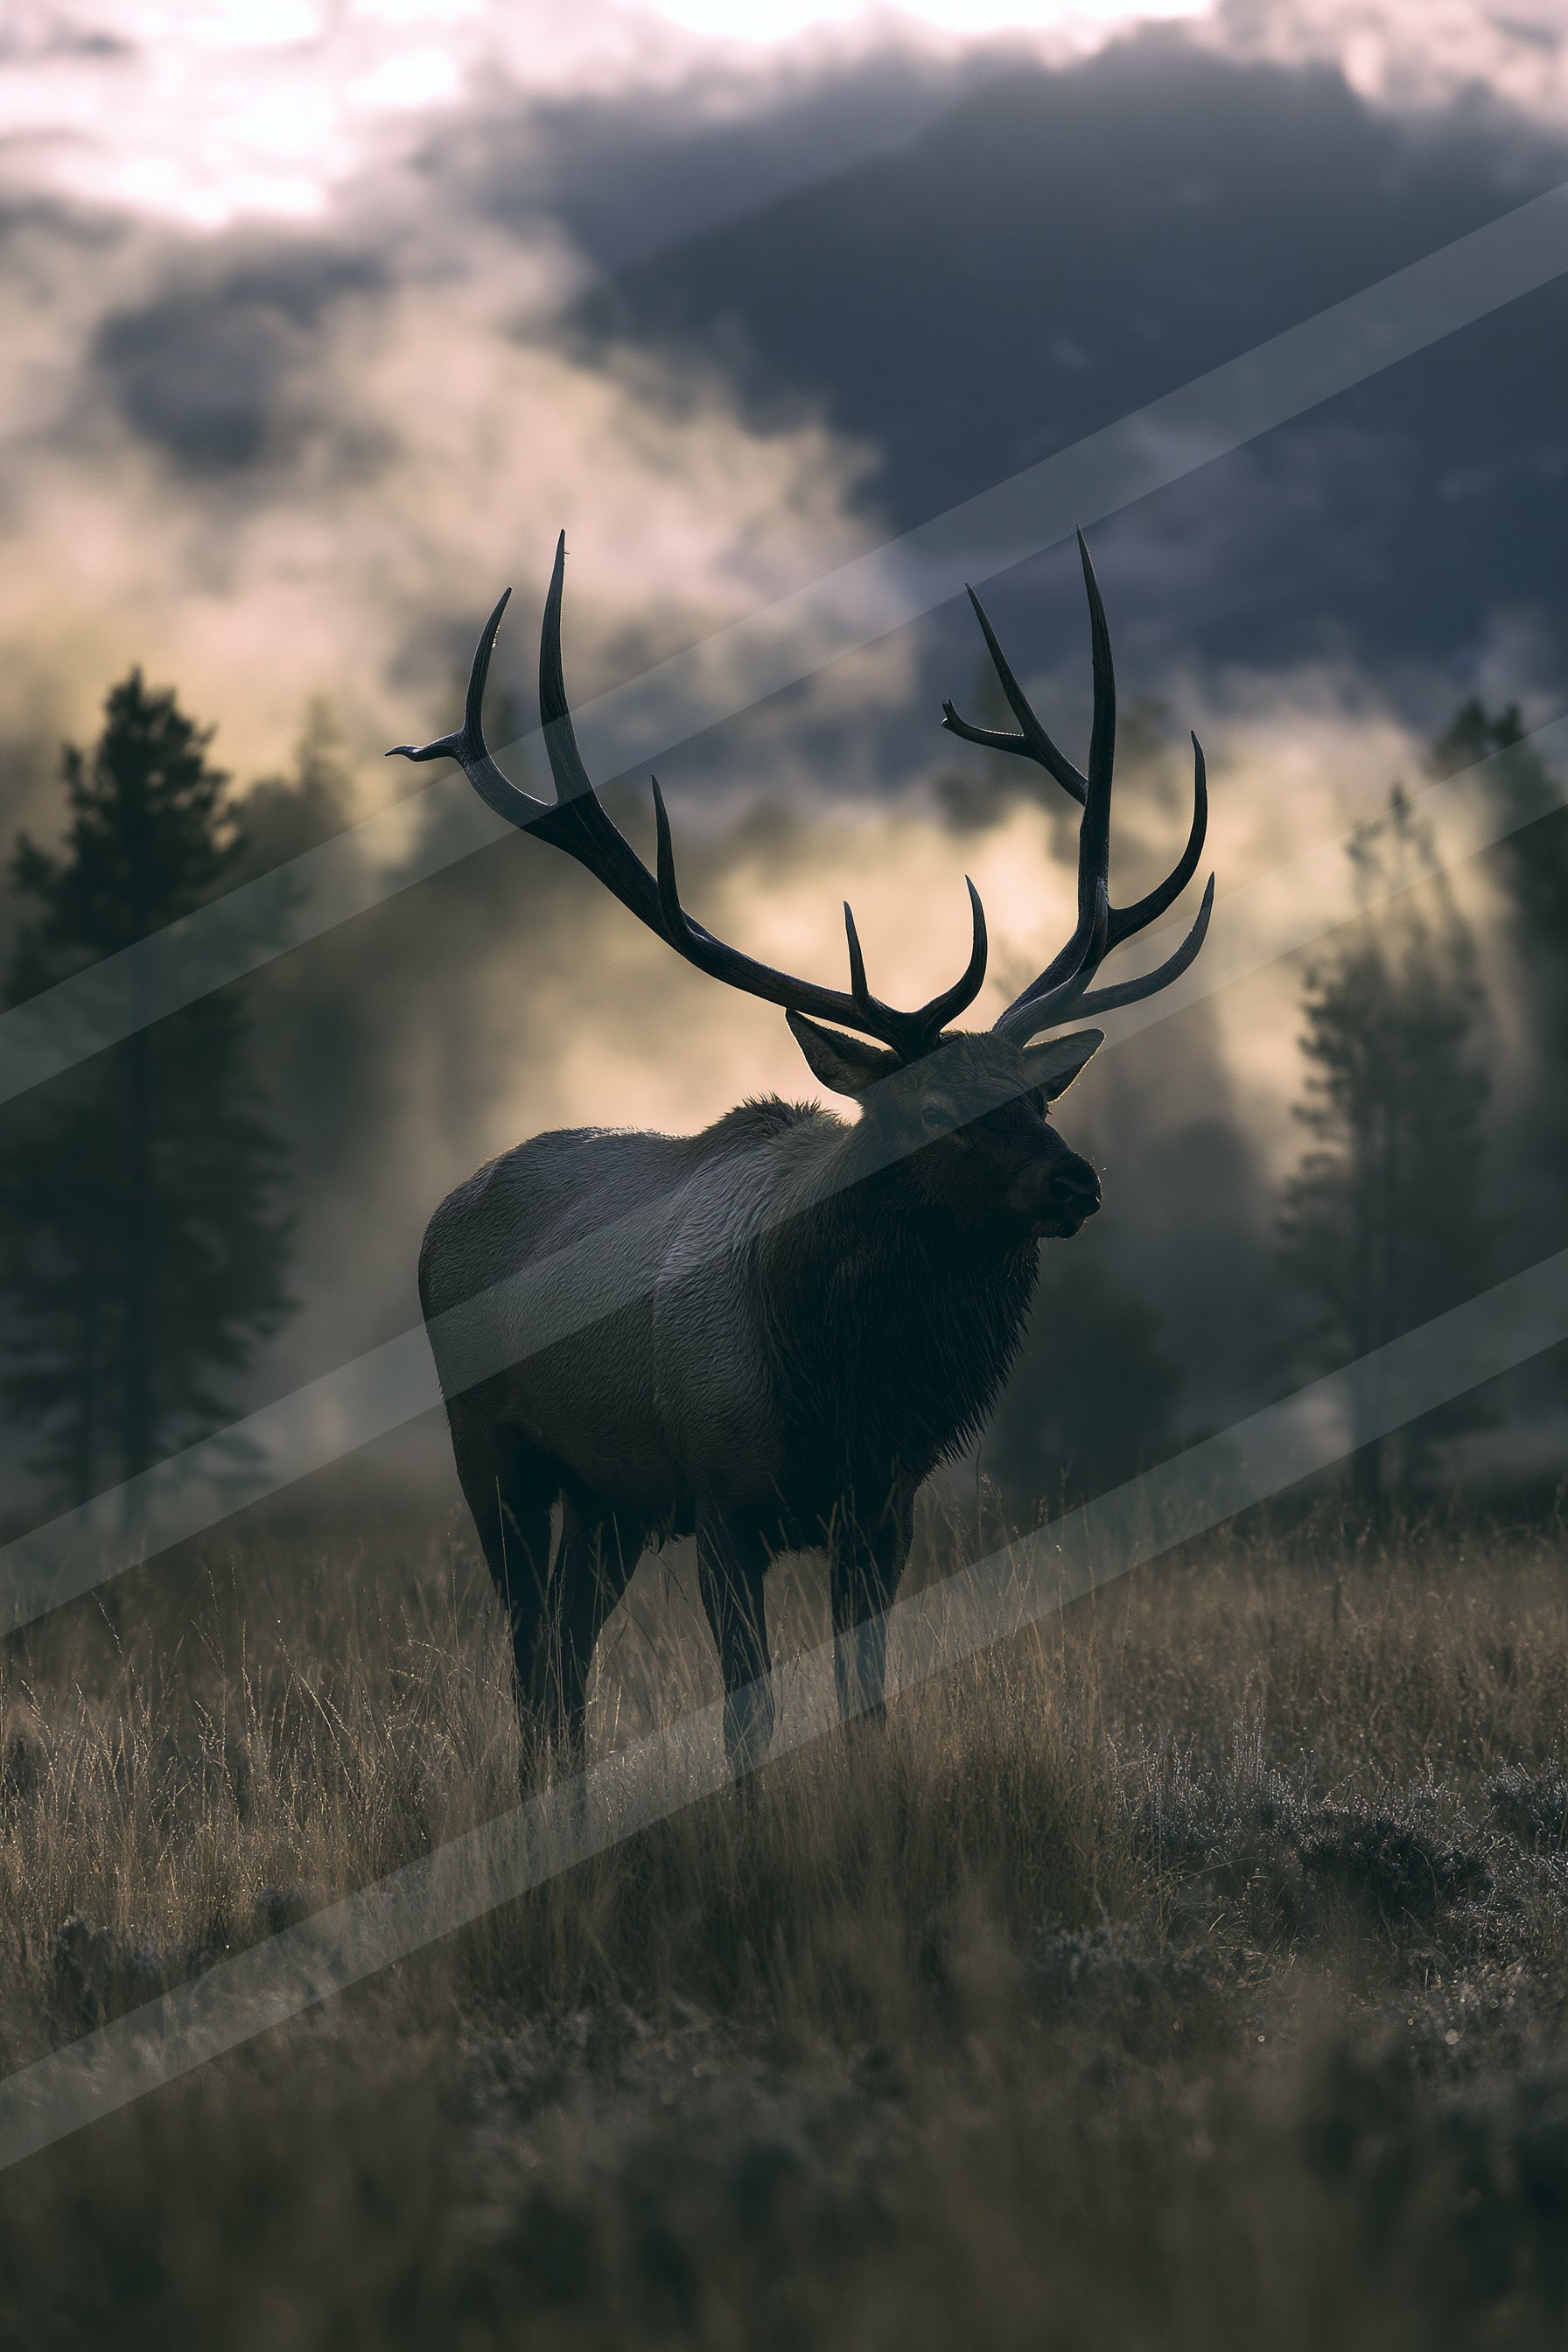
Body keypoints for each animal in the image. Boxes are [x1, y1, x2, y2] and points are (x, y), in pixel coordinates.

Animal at [393, 530, 1212, 1776]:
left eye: (1035, 1095)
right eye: (929, 1107)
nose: (1075, 1179)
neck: (851, 1390)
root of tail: (438, 1219)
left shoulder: (882, 1513)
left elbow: (863, 1702)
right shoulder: (723, 1501)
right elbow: (750, 1716)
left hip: (610, 1497)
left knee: (568, 1655)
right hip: (492, 1449)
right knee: (532, 1656)